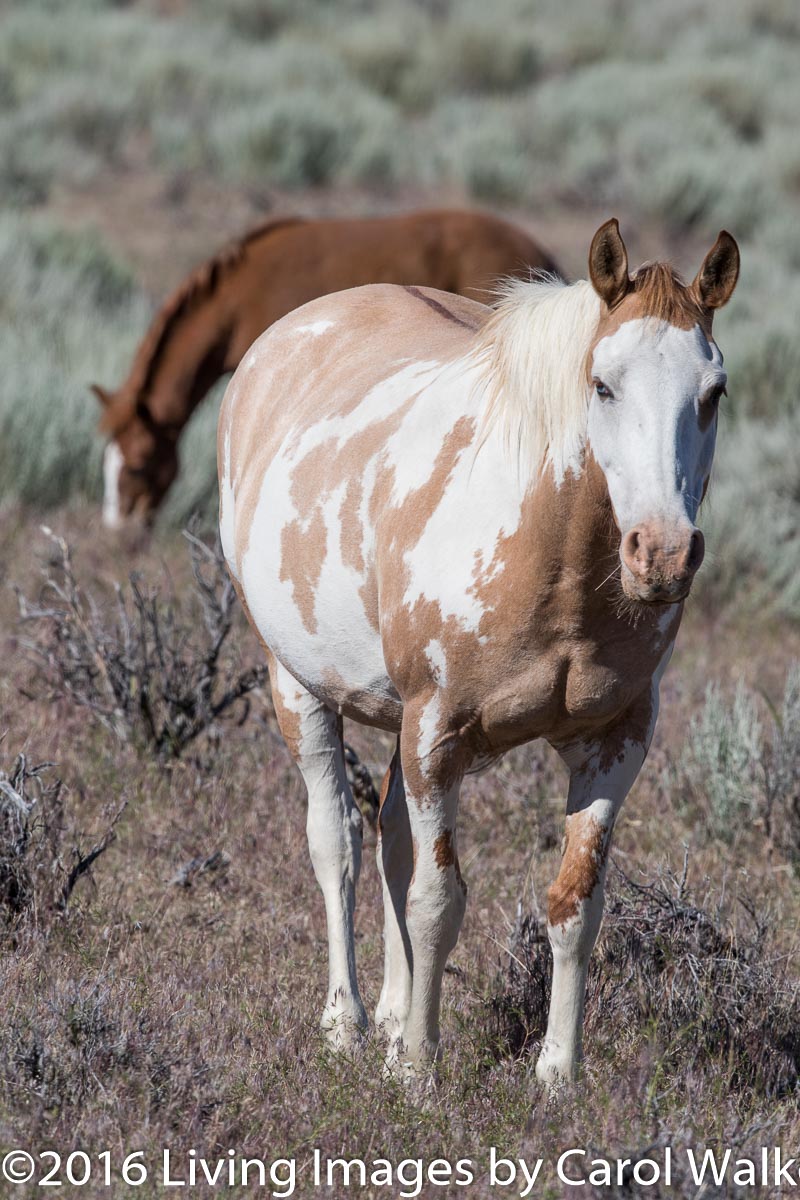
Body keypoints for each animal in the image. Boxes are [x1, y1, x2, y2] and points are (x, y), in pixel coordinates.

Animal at [217, 218, 738, 1089]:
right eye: (603, 385)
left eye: (713, 392)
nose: (662, 555)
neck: (551, 559)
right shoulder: (438, 733)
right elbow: (438, 901)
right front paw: (420, 1071)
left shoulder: (616, 741)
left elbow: (574, 903)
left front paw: (558, 1072)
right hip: (300, 690)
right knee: (338, 848)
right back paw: (347, 1024)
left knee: (390, 841)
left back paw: (392, 1016)